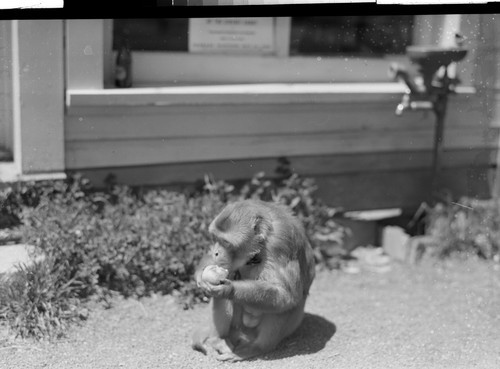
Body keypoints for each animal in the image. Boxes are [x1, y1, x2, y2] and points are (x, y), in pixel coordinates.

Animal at [192, 198, 316, 360]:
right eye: (216, 239)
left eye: (226, 243)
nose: (216, 252)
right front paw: (202, 278)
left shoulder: (282, 244)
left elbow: (286, 296)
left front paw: (228, 289)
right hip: (237, 328)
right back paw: (215, 340)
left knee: (283, 306)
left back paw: (257, 348)